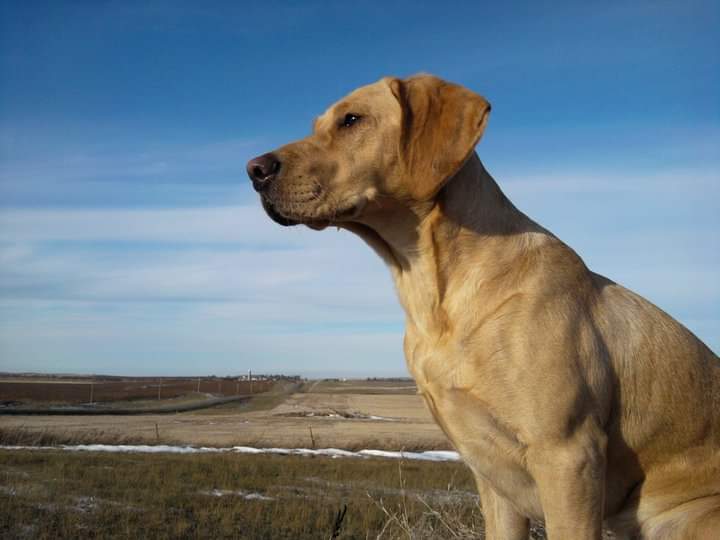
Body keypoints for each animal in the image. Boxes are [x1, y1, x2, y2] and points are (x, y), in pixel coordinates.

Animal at [249, 74, 720, 536]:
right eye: (316, 126)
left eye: (351, 119)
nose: (254, 169)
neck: (436, 296)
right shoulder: (493, 476)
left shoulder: (569, 457)